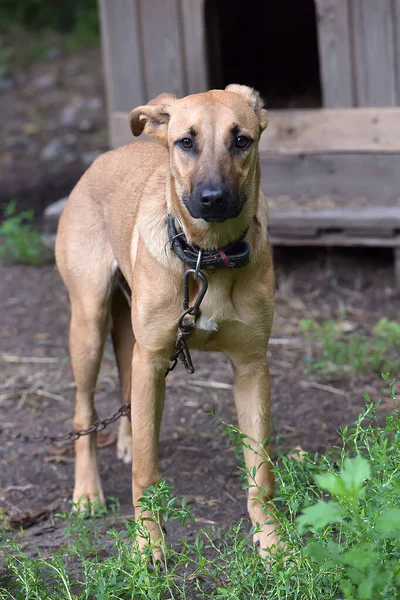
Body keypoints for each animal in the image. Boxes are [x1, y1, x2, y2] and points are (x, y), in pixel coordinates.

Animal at [54, 84, 278, 556]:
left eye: (241, 140)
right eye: (186, 142)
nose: (213, 198)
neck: (206, 258)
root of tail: (107, 156)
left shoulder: (252, 367)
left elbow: (261, 474)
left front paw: (273, 542)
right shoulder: (154, 358)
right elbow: (145, 469)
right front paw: (148, 543)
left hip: (128, 337)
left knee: (127, 390)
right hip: (89, 324)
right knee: (84, 414)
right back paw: (87, 493)